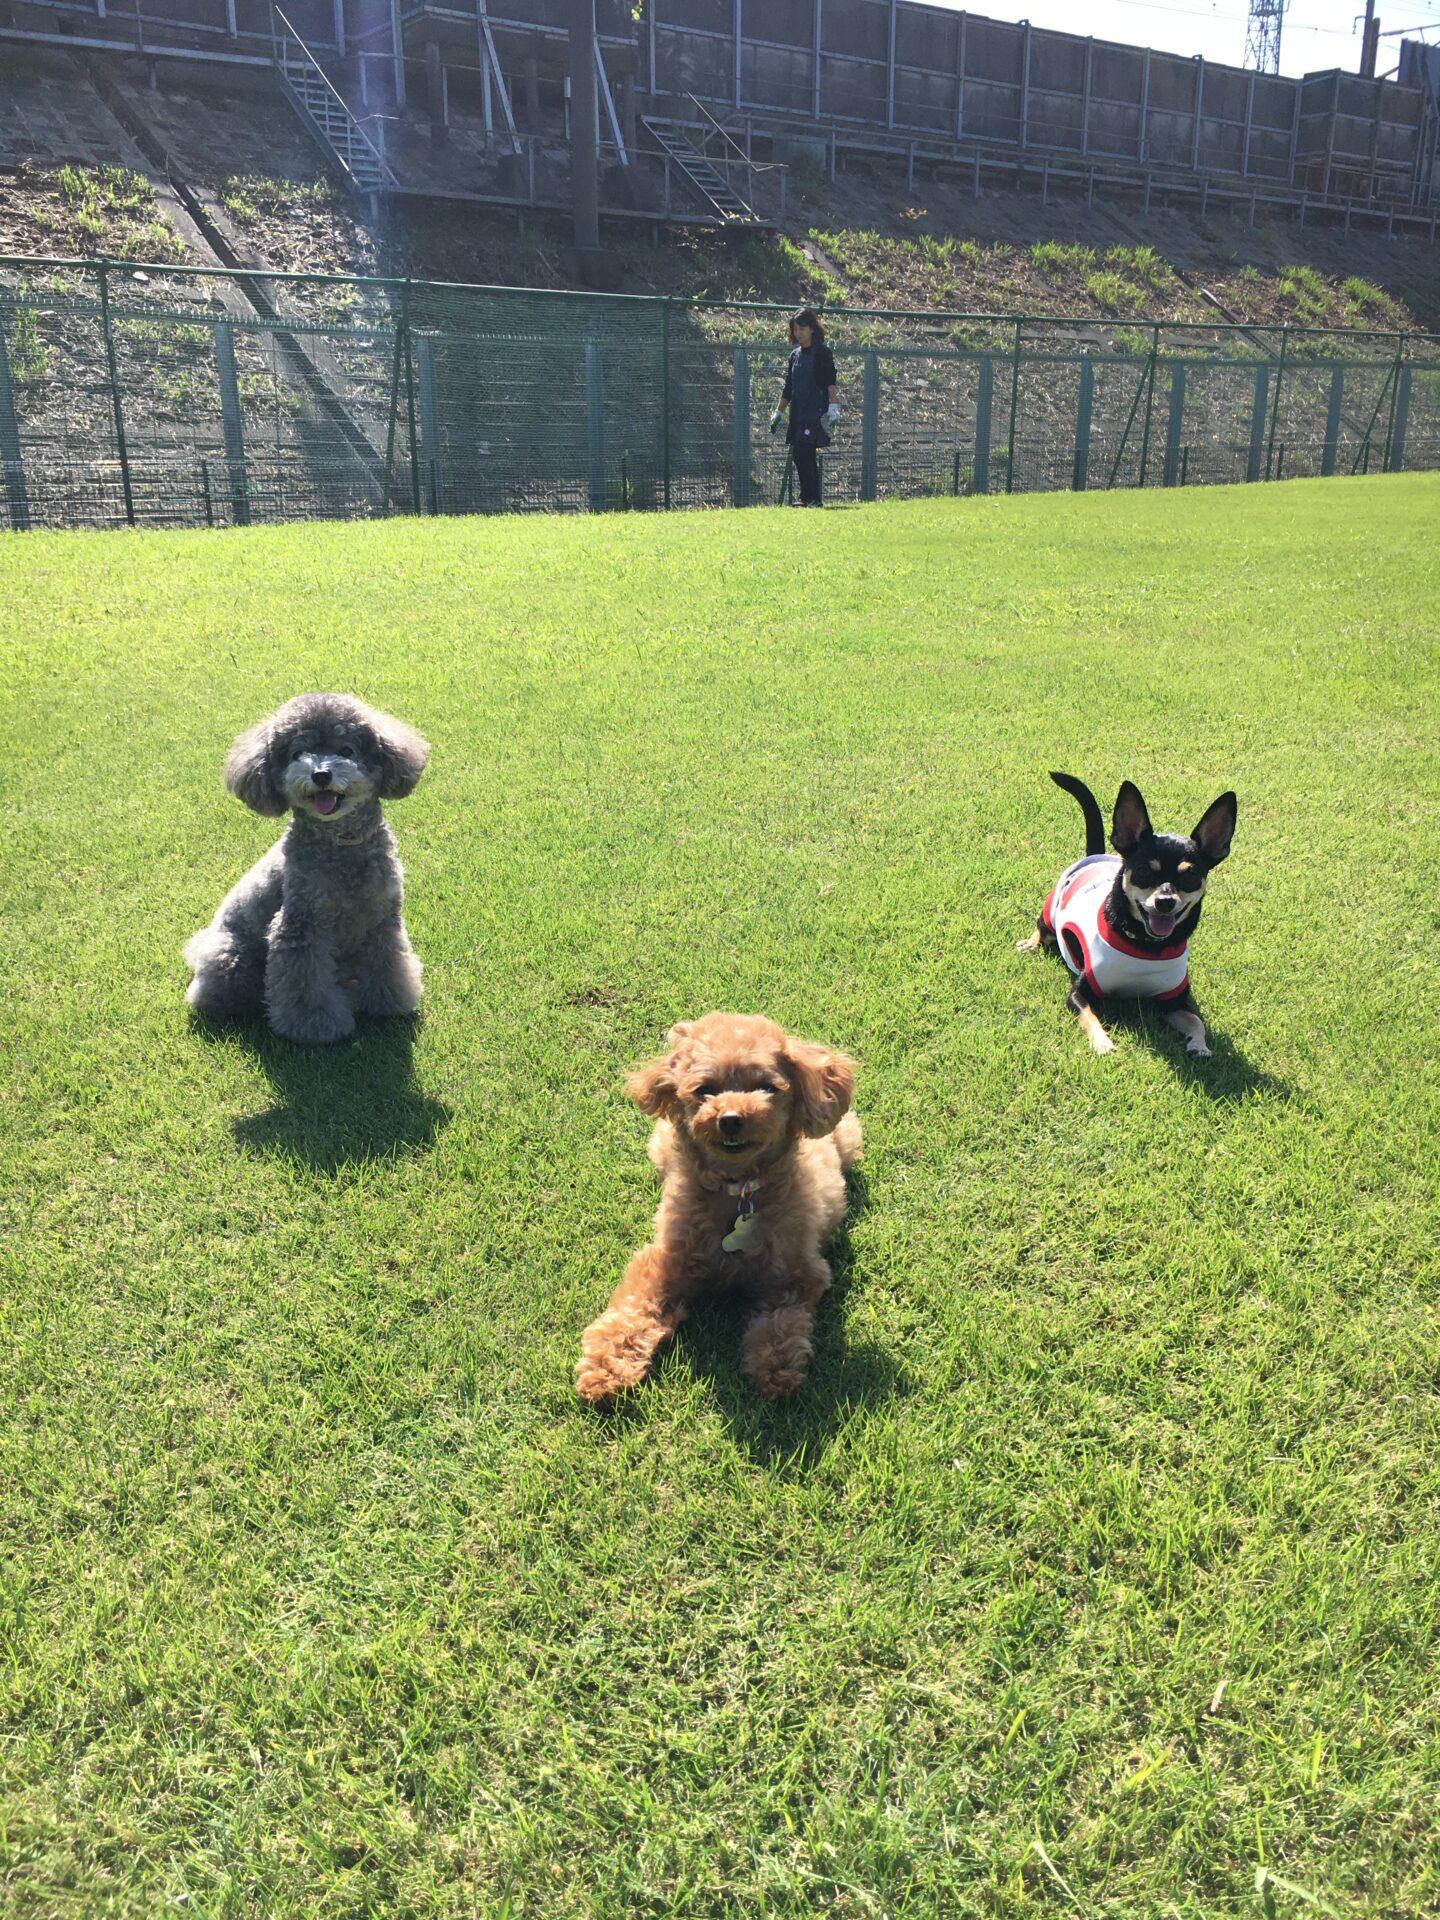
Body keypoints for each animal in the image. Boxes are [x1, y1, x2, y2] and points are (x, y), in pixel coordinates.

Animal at [184, 692, 429, 1045]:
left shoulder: (382, 918)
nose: (321, 774)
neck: (341, 844)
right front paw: (315, 1027)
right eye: (298, 753)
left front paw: (390, 1002)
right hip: (231, 954)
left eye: (346, 750)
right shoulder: (300, 927)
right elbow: (305, 985)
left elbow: (389, 964)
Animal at [576, 1014, 861, 1404]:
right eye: (704, 1090)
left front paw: (775, 1369)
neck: (737, 1190)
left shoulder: (794, 1273)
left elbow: (780, 1323)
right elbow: (630, 1310)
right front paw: (605, 1368)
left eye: (767, 1087)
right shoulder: (664, 1262)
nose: (730, 1118)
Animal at [1018, 771, 1237, 1057]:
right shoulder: (1080, 992)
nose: (1165, 901)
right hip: (1049, 914)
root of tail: (1095, 855)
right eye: (1143, 872)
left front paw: (1199, 1045)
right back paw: (1030, 943)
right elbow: (1089, 1016)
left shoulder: (1173, 1001)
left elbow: (1196, 1021)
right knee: (1042, 929)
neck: (1146, 947)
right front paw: (1102, 1042)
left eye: (1190, 876)